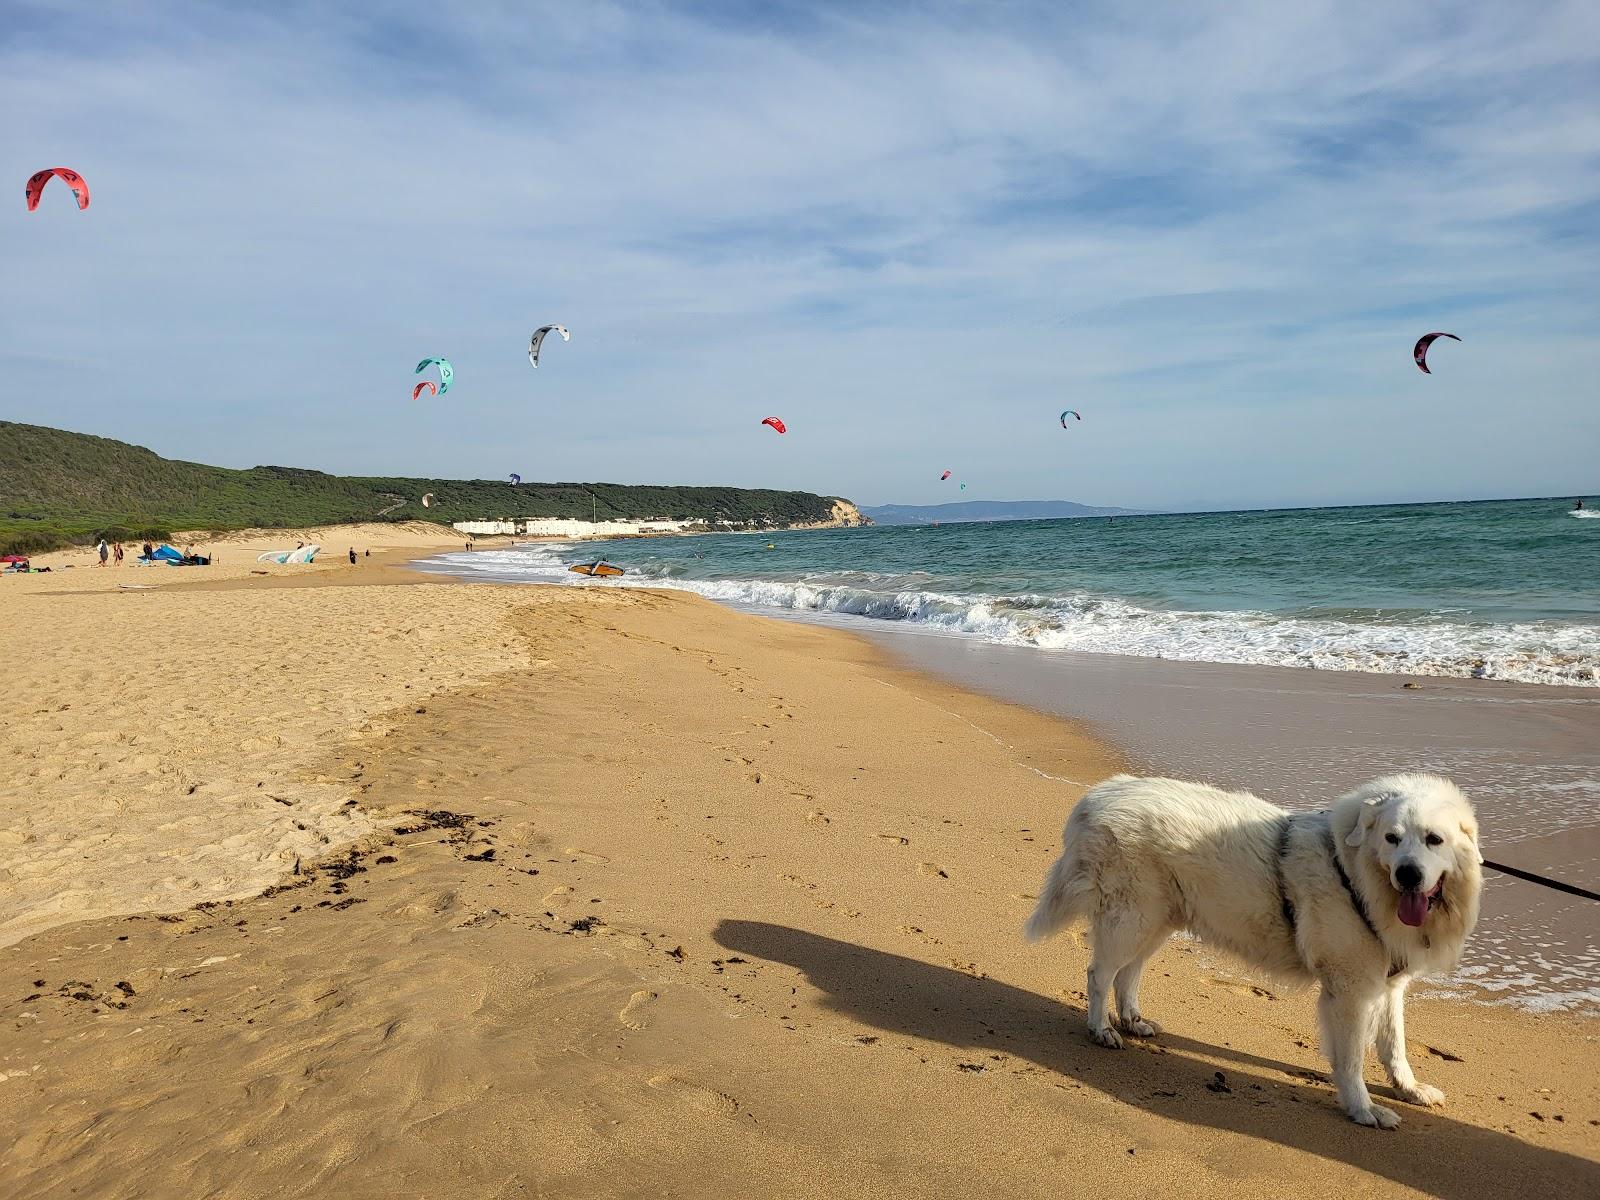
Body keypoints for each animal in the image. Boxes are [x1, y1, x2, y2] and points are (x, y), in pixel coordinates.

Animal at [1030, 774, 1478, 1132]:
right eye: (1391, 838)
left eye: (1434, 840)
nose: (1408, 874)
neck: (1355, 875)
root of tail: (1097, 796)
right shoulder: (1349, 992)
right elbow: (1352, 1060)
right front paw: (1364, 1110)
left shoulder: (1387, 986)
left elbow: (1395, 1046)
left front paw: (1409, 1089)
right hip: (1132, 918)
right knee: (1099, 974)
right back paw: (1100, 1029)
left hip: (1156, 920)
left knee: (1129, 972)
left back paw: (1132, 1021)